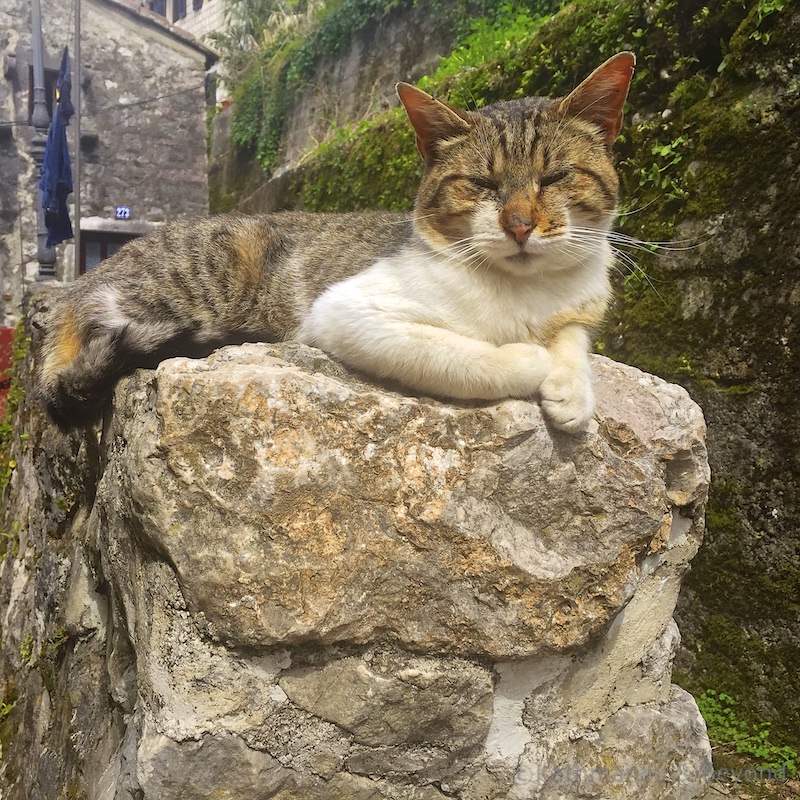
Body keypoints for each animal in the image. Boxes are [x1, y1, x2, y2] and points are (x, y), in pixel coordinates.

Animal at [36, 51, 636, 432]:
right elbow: (460, 355)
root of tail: (76, 290)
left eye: (555, 177)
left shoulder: (582, 303)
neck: (526, 292)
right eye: (482, 184)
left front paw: (571, 388)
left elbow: (575, 335)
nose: (519, 224)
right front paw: (531, 362)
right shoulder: (350, 312)